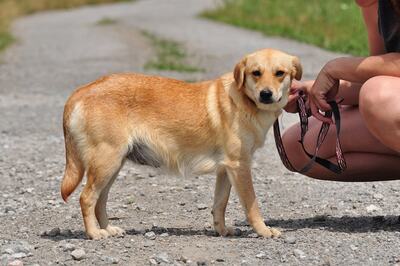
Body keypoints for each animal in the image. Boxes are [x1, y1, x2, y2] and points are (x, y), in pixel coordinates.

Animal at [61, 48, 302, 241]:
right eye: (256, 73)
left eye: (280, 73)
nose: (266, 94)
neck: (245, 101)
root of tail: (80, 91)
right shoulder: (240, 166)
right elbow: (252, 206)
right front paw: (264, 231)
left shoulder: (226, 169)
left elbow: (219, 204)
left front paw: (221, 231)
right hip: (106, 163)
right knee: (86, 198)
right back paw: (94, 233)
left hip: (113, 166)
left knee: (100, 201)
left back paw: (108, 229)